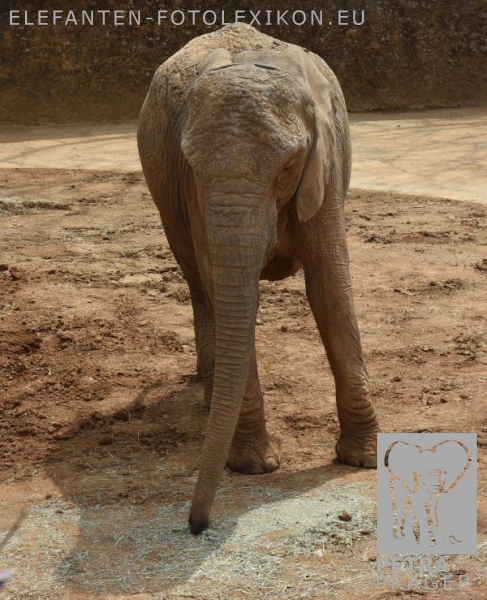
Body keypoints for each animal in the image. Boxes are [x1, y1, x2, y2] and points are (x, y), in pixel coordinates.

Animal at [137, 23, 380, 534]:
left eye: (288, 165)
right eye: (190, 163)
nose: (196, 526)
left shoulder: (325, 168)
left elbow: (330, 288)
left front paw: (364, 459)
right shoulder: (193, 191)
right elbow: (224, 285)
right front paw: (253, 466)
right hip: (166, 201)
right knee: (199, 284)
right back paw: (212, 399)